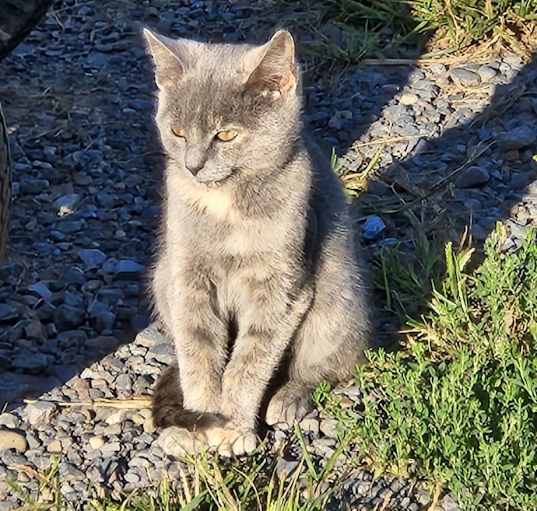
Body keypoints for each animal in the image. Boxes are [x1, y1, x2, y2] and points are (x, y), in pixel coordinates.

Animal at [143, 28, 372, 458]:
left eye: (226, 134)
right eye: (177, 132)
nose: (193, 165)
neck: (224, 202)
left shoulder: (280, 287)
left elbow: (250, 360)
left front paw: (233, 430)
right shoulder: (187, 278)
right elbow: (198, 352)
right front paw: (198, 426)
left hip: (336, 299)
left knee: (334, 361)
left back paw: (290, 397)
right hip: (161, 280)